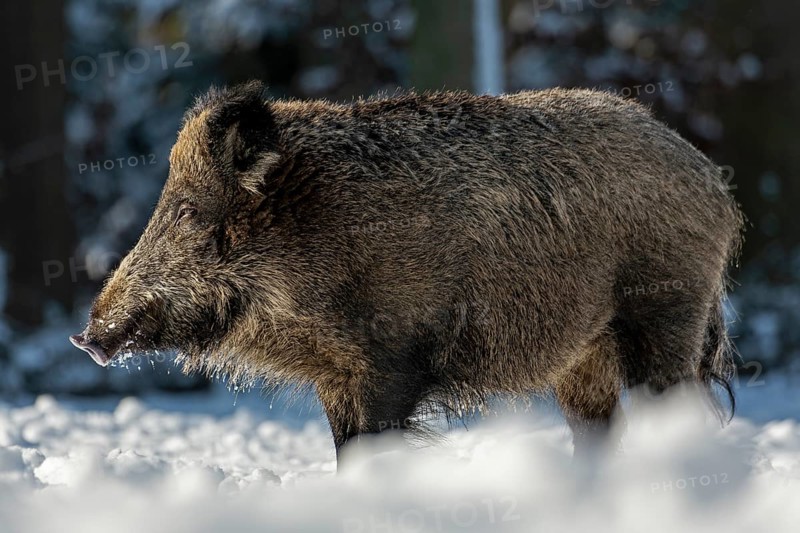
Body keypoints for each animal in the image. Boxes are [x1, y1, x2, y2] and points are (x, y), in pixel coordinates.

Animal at [71, 81, 744, 462]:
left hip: (668, 313)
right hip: (585, 356)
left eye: (188, 212)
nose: (86, 337)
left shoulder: (392, 359)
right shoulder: (337, 376)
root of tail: (713, 181)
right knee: (598, 430)